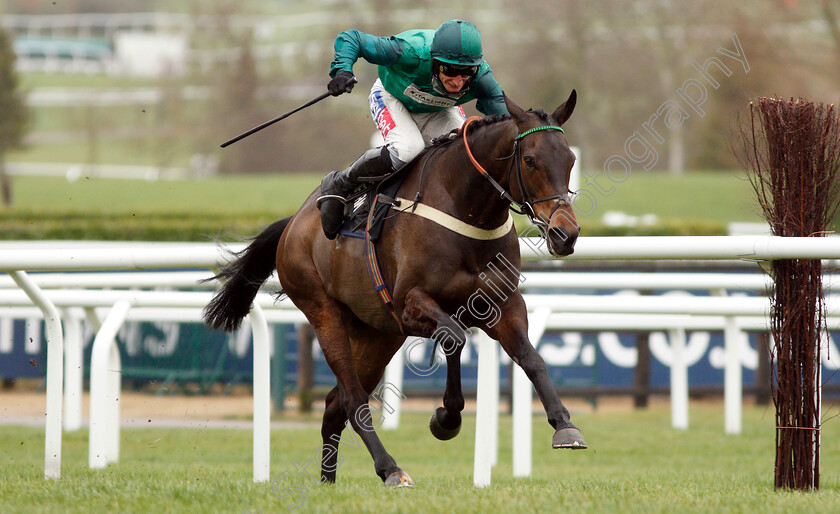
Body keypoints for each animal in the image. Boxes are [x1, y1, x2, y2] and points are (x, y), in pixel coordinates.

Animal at [203, 91, 584, 484]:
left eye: (570, 159)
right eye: (530, 159)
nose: (565, 234)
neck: (465, 211)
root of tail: (294, 222)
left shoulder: (503, 305)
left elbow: (531, 358)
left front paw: (564, 426)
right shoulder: (410, 304)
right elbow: (454, 338)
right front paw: (446, 419)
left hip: (378, 334)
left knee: (334, 405)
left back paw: (328, 481)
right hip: (323, 311)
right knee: (353, 400)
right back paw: (390, 469)